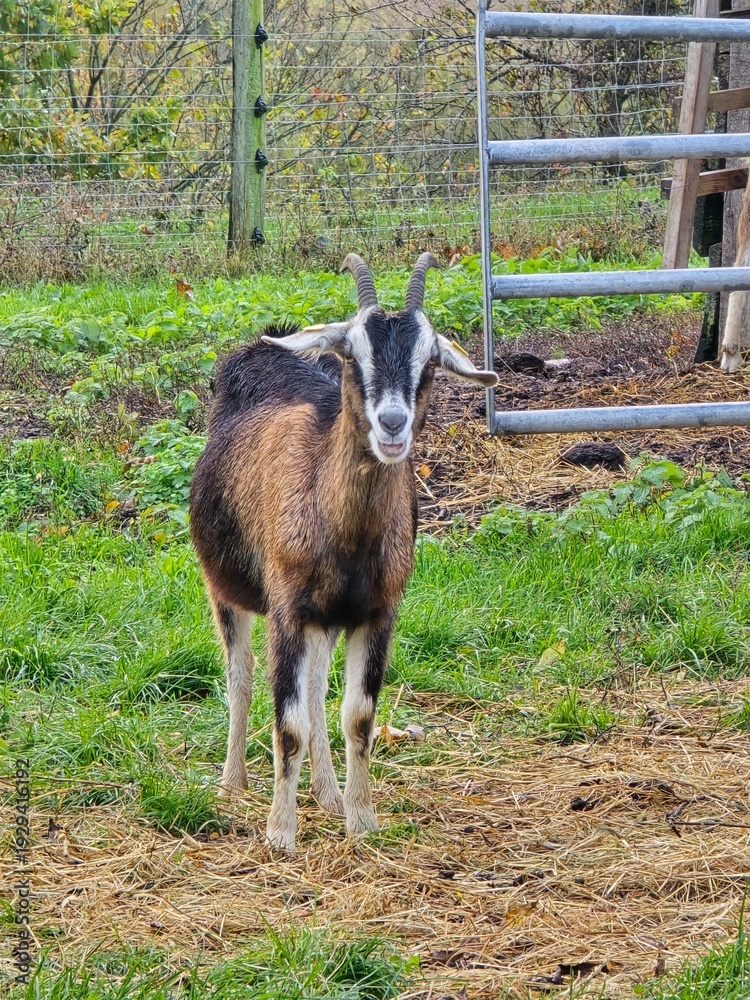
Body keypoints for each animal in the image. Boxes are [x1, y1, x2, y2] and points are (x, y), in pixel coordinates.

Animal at [189, 253, 498, 850]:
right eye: (353, 353)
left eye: (430, 361)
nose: (392, 424)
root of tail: (266, 346)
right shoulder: (286, 609)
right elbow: (287, 726)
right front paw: (280, 833)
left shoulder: (377, 613)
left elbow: (357, 717)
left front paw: (361, 820)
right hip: (227, 589)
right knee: (242, 677)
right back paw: (233, 785)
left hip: (326, 619)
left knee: (313, 690)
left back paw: (326, 794)